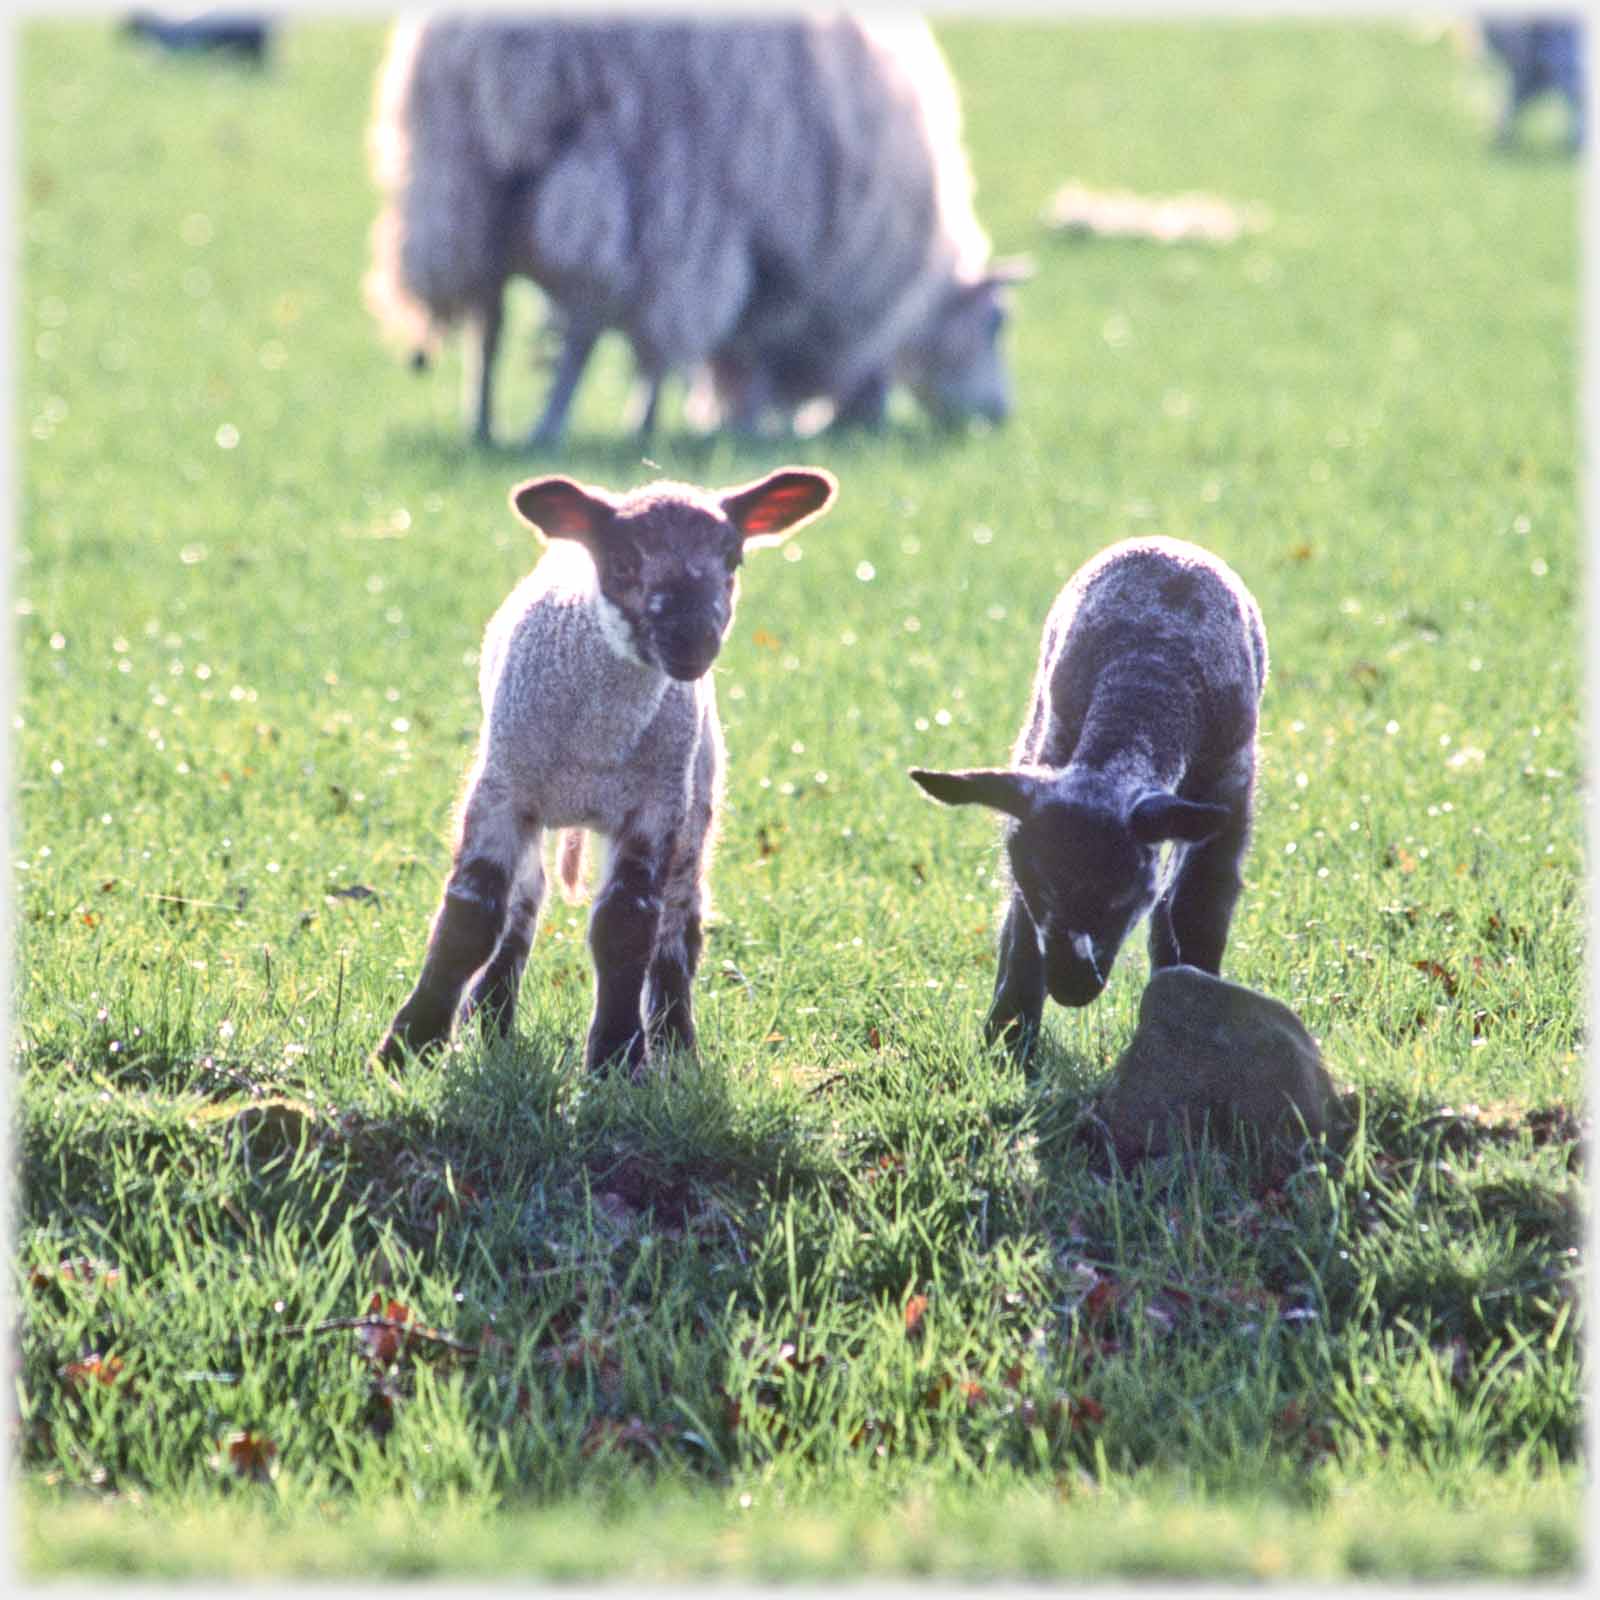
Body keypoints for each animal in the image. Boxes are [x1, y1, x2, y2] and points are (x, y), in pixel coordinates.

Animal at [364, 15, 1029, 446]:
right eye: (996, 324)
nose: (1000, 416)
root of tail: (510, 51)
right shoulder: (769, 258)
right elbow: (735, 351)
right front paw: (743, 425)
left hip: (458, 182)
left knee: (489, 316)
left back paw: (481, 423)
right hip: (640, 173)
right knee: (584, 326)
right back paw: (550, 429)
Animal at [374, 466, 839, 1075]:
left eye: (733, 558)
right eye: (621, 562)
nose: (692, 641)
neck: (597, 743)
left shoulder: (655, 806)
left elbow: (626, 924)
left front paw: (619, 1056)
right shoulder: (502, 790)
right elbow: (470, 916)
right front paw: (408, 1044)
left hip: (697, 798)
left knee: (678, 924)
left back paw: (677, 1045)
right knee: (525, 900)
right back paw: (493, 1017)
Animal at [909, 537, 1267, 1065]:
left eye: (1122, 901)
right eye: (1038, 889)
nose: (1072, 989)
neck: (1148, 678)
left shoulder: (1229, 791)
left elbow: (1197, 910)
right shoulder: (1045, 762)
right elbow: (1019, 926)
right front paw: (1009, 1037)